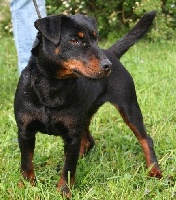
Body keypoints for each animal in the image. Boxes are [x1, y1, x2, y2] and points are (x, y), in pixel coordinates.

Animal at [14, 10, 162, 198]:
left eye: (95, 38)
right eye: (74, 40)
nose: (107, 65)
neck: (52, 85)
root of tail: (112, 53)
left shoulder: (72, 134)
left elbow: (69, 168)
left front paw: (64, 191)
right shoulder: (25, 131)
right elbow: (26, 162)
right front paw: (26, 186)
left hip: (129, 106)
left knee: (145, 139)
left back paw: (154, 171)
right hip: (85, 114)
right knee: (88, 141)